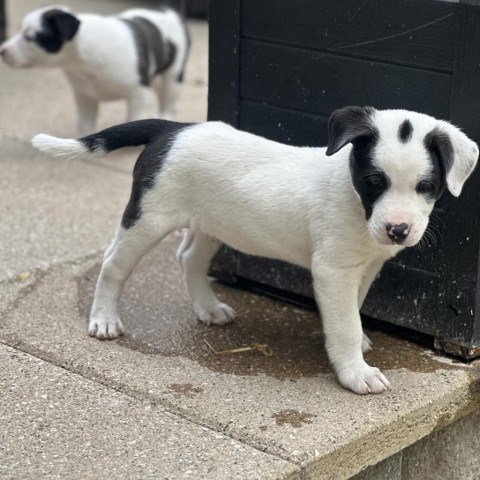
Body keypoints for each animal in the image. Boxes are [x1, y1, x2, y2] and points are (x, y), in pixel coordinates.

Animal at [1, 5, 189, 136]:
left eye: (29, 37)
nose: (2, 50)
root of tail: (169, 11)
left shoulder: (138, 93)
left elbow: (134, 118)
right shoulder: (84, 96)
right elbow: (84, 124)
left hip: (173, 75)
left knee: (169, 101)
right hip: (156, 78)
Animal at [31, 108, 478, 394]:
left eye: (426, 186)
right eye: (374, 181)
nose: (397, 230)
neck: (354, 201)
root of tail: (174, 129)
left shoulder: (365, 267)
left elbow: (355, 308)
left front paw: (359, 345)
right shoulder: (333, 270)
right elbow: (345, 324)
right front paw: (355, 373)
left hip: (212, 224)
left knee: (188, 259)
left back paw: (208, 309)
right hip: (147, 219)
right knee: (113, 265)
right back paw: (104, 318)